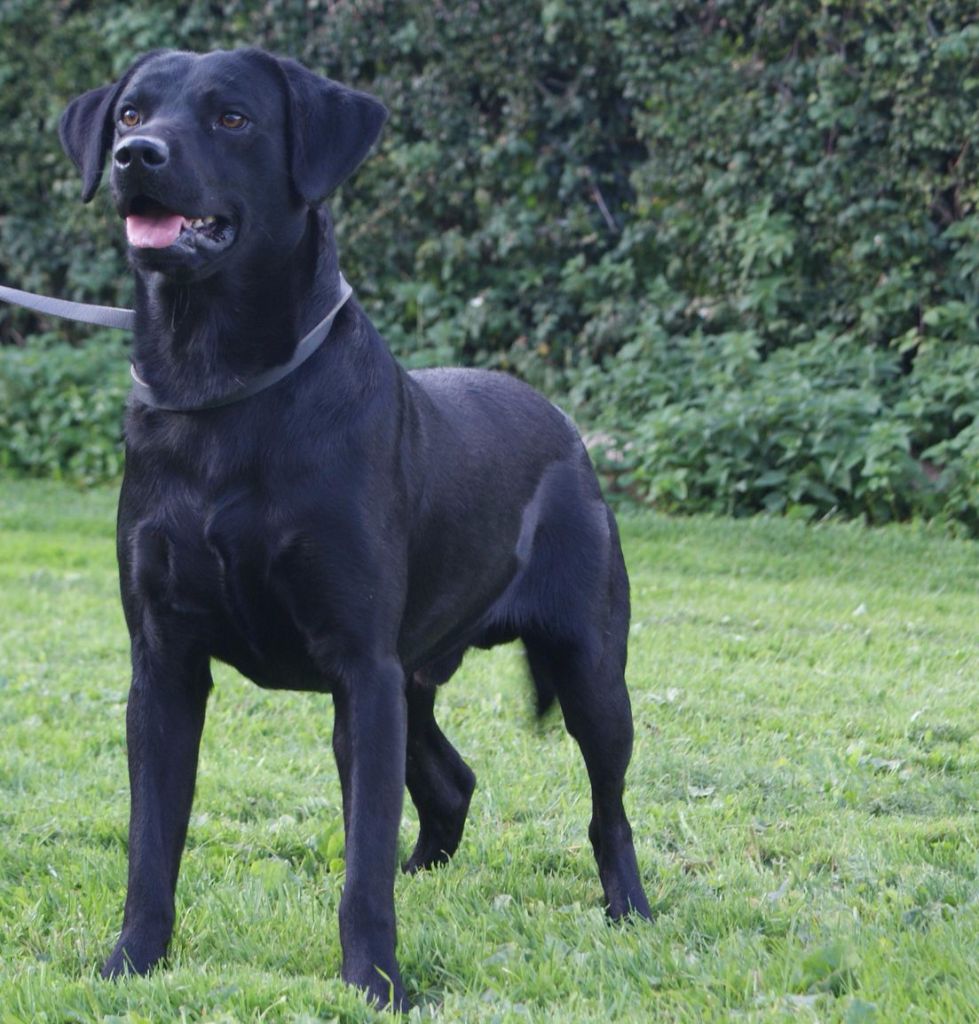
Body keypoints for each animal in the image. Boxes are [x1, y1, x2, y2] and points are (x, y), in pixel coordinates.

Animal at [58, 47, 650, 1010]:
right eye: (130, 114)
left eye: (232, 118)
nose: (135, 157)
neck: (219, 382)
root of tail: (565, 426)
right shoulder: (164, 665)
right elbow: (152, 846)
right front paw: (130, 966)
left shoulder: (360, 670)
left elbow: (361, 856)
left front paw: (376, 984)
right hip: (415, 680)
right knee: (451, 783)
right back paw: (430, 873)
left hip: (589, 668)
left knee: (608, 807)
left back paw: (629, 910)